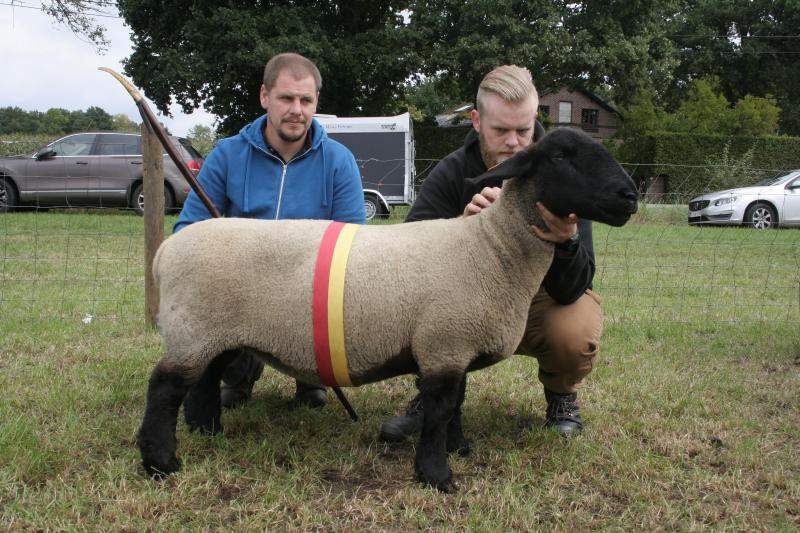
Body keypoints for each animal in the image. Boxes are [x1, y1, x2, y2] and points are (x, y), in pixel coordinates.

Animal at [136, 128, 636, 490]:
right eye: (561, 156)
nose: (629, 196)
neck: (491, 250)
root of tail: (165, 253)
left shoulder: (450, 343)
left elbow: (456, 404)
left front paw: (458, 450)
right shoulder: (445, 342)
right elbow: (439, 412)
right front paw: (437, 476)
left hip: (209, 330)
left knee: (202, 379)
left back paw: (207, 431)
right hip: (194, 327)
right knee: (164, 388)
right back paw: (161, 462)